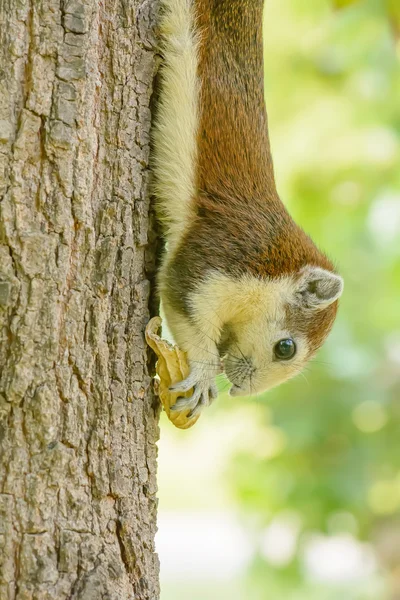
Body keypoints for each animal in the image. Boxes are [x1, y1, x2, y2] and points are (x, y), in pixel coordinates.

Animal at [152, 0, 346, 418]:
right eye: (286, 348)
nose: (240, 392)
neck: (272, 270)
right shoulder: (219, 258)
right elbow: (182, 302)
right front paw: (203, 378)